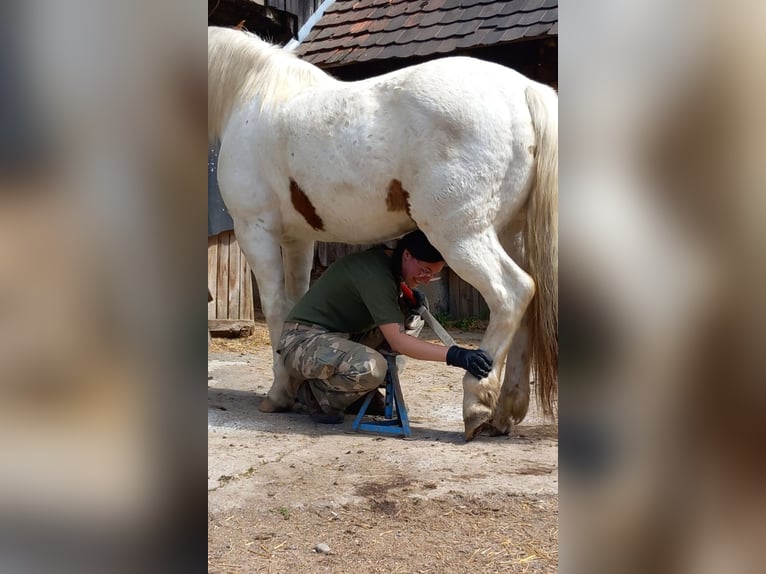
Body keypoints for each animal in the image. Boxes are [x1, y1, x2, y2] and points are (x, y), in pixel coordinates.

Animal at [208, 26, 558, 440]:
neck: (252, 94)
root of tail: (523, 90)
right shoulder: (298, 238)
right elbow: (296, 301)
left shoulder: (255, 230)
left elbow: (277, 309)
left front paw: (280, 393)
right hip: (510, 233)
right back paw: (504, 413)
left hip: (461, 235)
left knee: (513, 293)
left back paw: (476, 403)